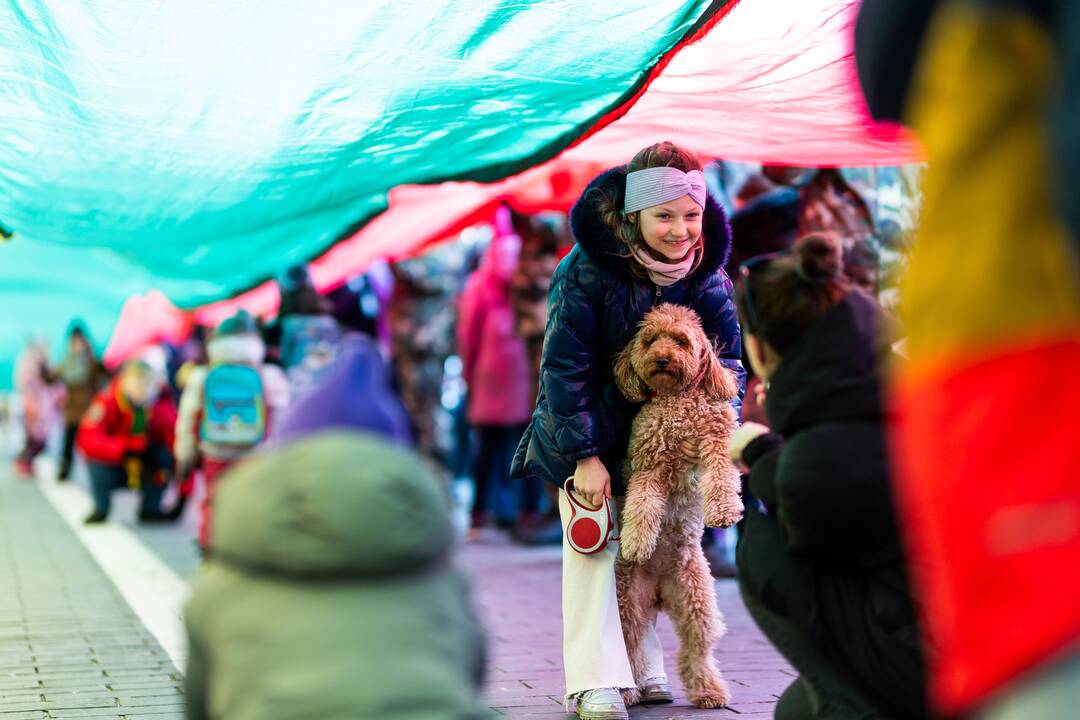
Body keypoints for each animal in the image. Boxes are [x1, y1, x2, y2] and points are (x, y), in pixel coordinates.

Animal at [613, 302, 747, 708]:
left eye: (681, 340)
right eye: (650, 339)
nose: (661, 358)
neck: (677, 401)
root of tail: (658, 590)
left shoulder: (717, 441)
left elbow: (722, 478)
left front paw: (724, 511)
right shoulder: (648, 466)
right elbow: (642, 506)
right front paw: (637, 542)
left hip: (697, 604)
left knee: (695, 651)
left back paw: (709, 691)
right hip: (628, 607)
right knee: (632, 651)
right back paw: (627, 692)